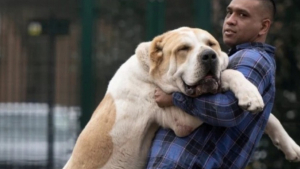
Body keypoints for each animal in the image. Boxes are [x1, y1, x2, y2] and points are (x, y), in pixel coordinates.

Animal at [63, 27, 300, 168]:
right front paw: (250, 93)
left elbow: (269, 117)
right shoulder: (181, 121)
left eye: (211, 44)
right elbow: (229, 74)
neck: (149, 73)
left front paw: (290, 146)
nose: (209, 55)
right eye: (183, 49)